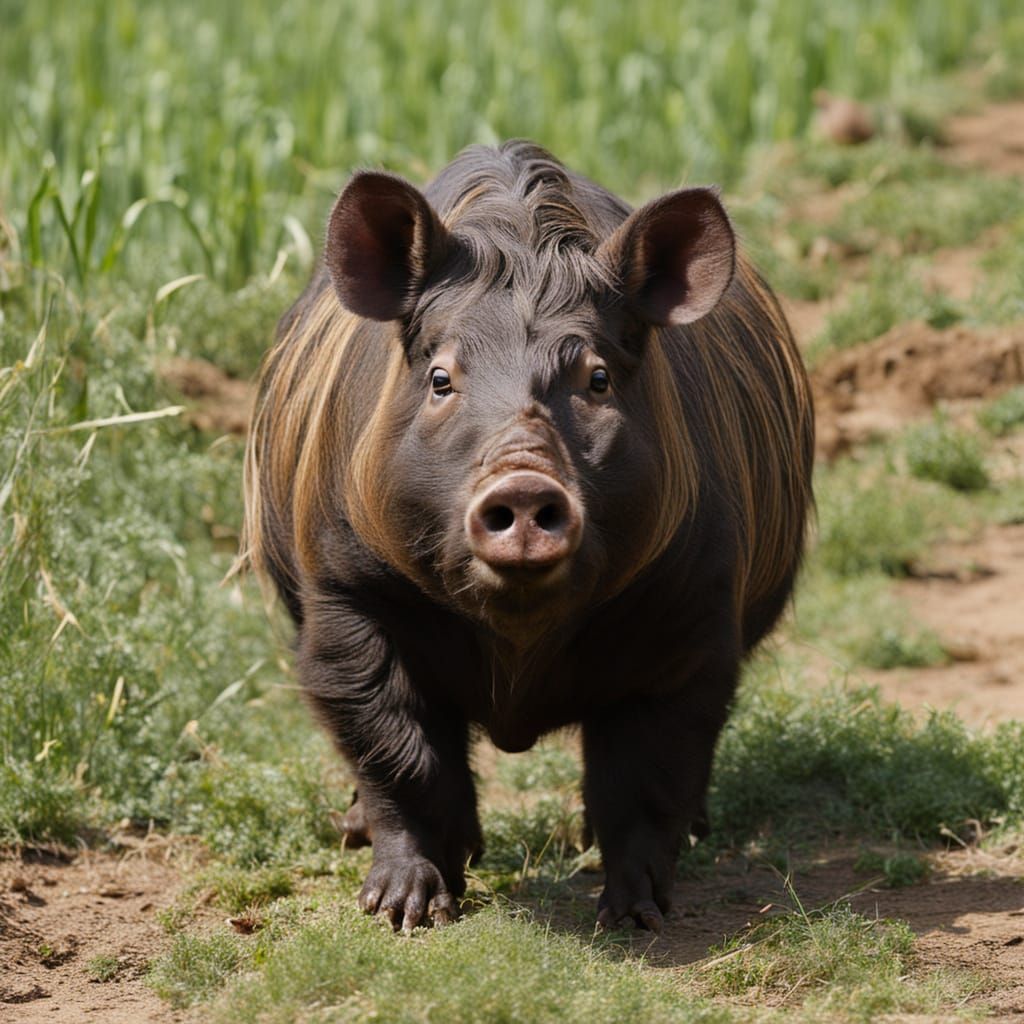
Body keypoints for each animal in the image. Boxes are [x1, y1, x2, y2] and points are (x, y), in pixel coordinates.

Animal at [242, 140, 814, 933]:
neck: (518, 642)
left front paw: (636, 914)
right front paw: (403, 911)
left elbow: (648, 771)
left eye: (597, 379)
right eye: (442, 378)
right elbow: (396, 748)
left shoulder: (695, 608)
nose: (521, 484)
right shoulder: (343, 589)